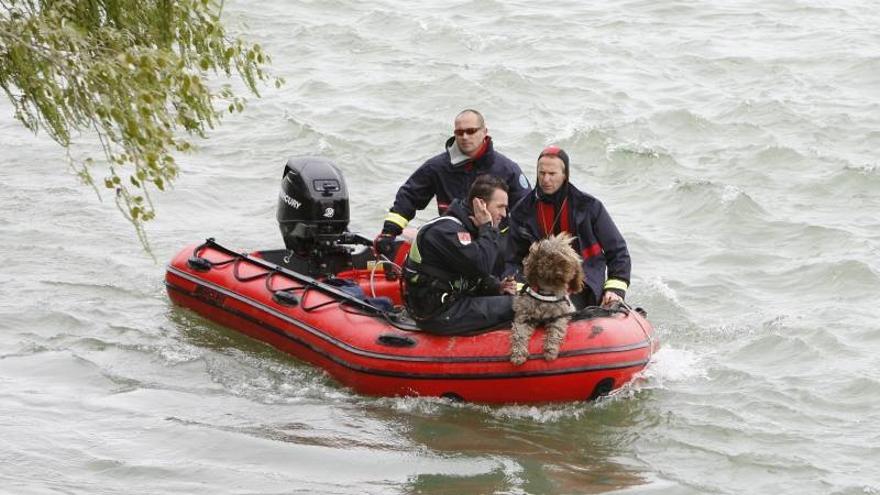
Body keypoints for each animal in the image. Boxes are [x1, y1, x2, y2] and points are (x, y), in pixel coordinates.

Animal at [508, 232, 584, 364]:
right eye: (550, 257)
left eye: (565, 261)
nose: (559, 270)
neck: (547, 292)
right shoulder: (524, 317)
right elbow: (519, 333)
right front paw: (518, 354)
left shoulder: (560, 315)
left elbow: (556, 331)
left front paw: (550, 350)